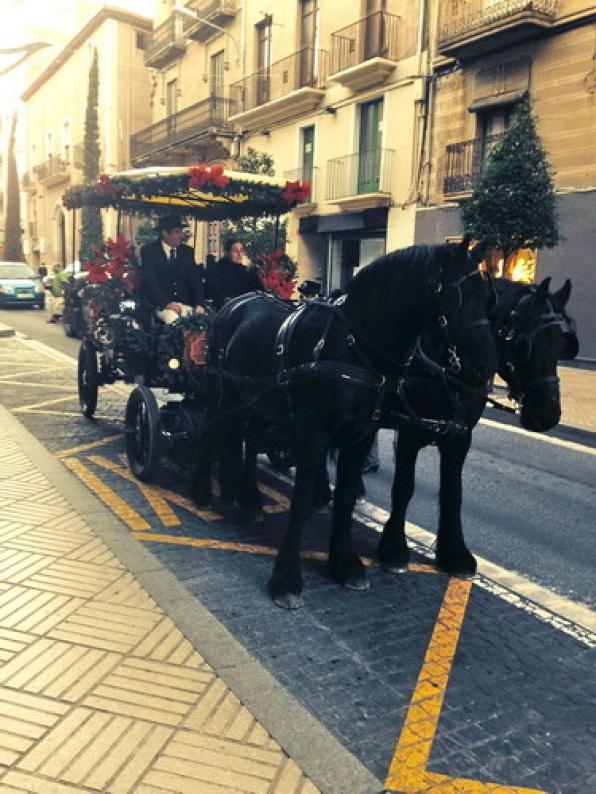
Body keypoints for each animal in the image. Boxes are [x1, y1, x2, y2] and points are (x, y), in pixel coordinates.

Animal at [192, 237, 498, 608]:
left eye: (488, 297)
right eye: (453, 295)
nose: (485, 369)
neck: (354, 349)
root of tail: (235, 303)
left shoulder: (367, 437)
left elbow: (351, 496)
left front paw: (344, 563)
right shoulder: (319, 436)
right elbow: (304, 499)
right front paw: (286, 578)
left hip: (260, 402)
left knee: (248, 439)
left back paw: (247, 496)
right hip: (221, 391)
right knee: (211, 430)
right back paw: (202, 491)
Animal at [378, 276, 576, 572]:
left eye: (561, 345)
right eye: (524, 346)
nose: (548, 414)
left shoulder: (460, 437)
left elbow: (453, 492)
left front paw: (454, 552)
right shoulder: (409, 429)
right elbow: (404, 486)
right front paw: (393, 546)